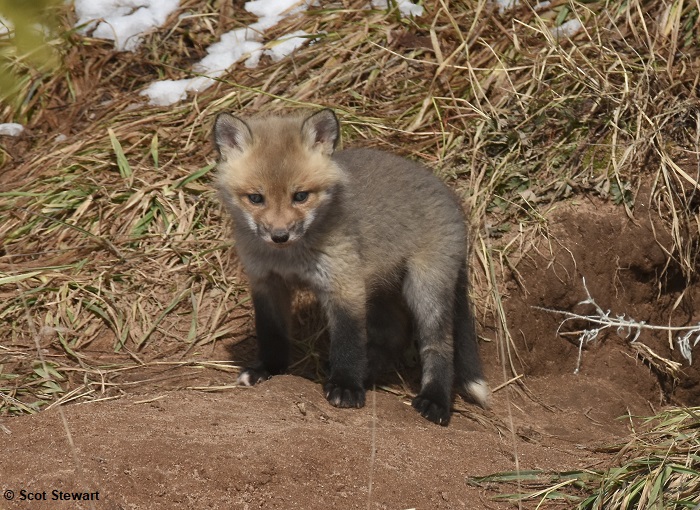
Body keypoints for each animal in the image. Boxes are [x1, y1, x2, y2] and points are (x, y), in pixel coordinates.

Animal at [213, 108, 489, 425]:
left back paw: (435, 401)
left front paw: (345, 386)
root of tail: (451, 197)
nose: (280, 236)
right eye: (256, 198)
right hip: (381, 288)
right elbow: (272, 334)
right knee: (394, 334)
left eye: (301, 196)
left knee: (439, 344)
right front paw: (268, 370)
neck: (289, 258)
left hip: (425, 287)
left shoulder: (344, 284)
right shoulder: (266, 283)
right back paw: (369, 373)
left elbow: (348, 340)